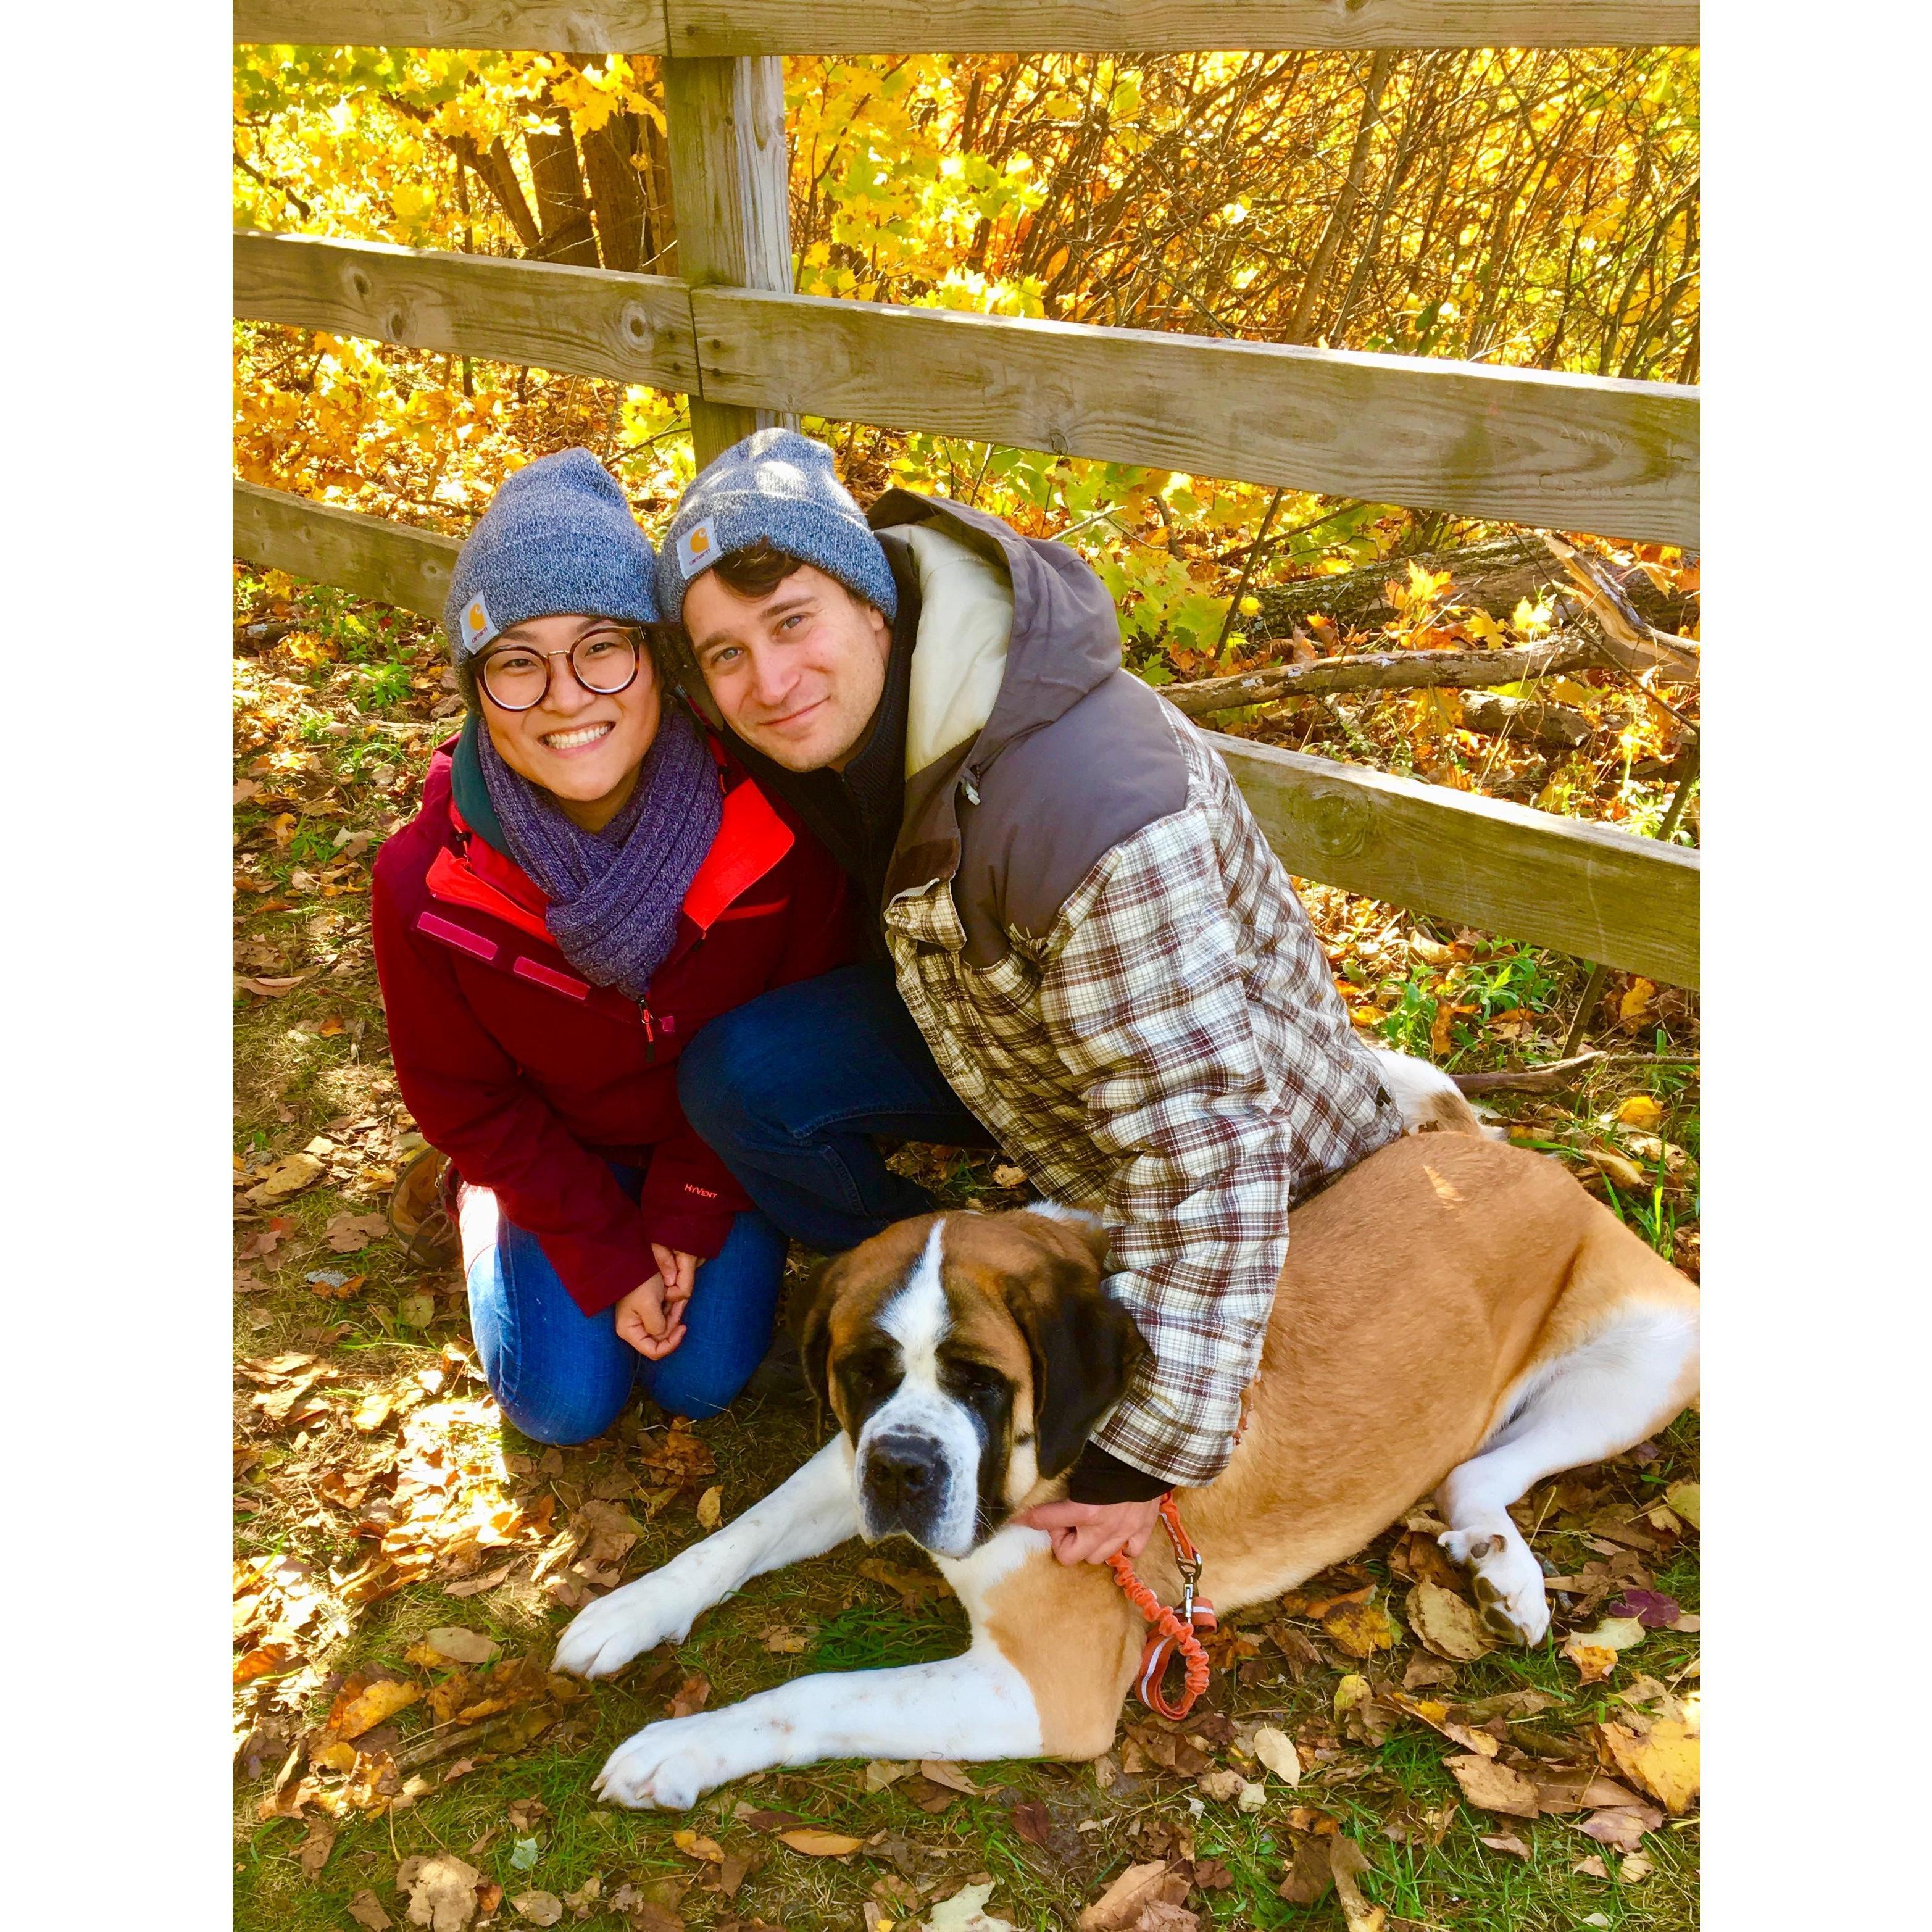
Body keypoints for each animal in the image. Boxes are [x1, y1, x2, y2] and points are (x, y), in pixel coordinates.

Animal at [556, 1081, 1692, 1801]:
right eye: (864, 1371)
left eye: (981, 1383)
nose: (905, 1471)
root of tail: (1500, 1151)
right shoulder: (850, 1455)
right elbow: (737, 1534)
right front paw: (624, 1610)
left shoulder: (1037, 1690)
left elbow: (816, 1695)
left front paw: (677, 1751)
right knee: (1469, 1471)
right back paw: (1501, 1569)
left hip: (1654, 1357)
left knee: (1492, 1463)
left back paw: (1509, 1576)